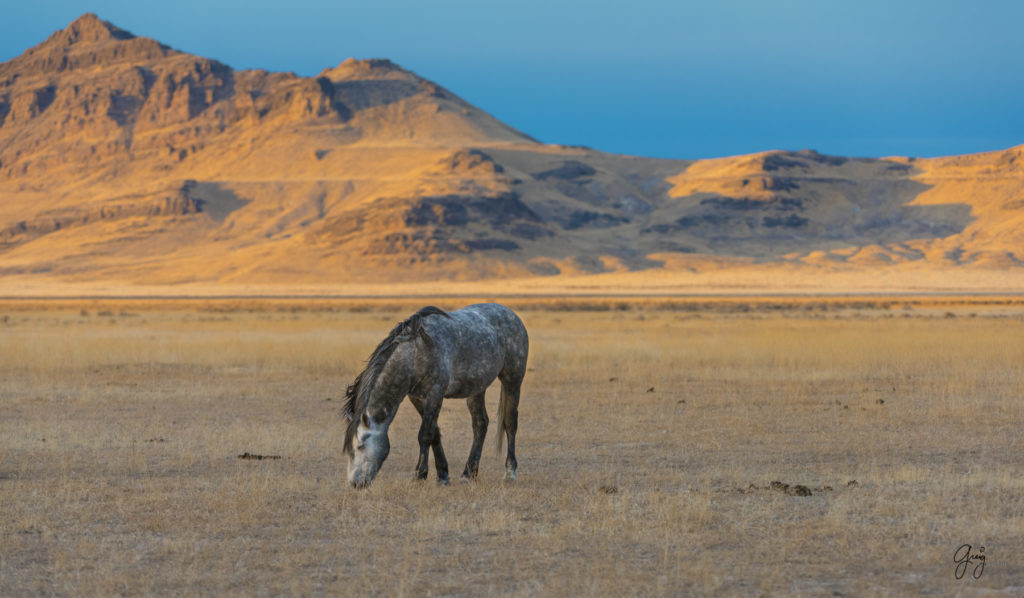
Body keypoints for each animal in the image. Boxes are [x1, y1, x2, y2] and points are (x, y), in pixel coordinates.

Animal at [342, 301, 528, 487]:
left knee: (510, 423)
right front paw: (442, 475)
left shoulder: (435, 393)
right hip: (477, 388)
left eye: (360, 446)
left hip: (512, 381)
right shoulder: (417, 397)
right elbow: (435, 433)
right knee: (480, 424)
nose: (355, 483)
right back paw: (469, 473)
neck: (415, 353)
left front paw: (420, 474)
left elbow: (425, 434)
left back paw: (509, 472)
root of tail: (512, 315)